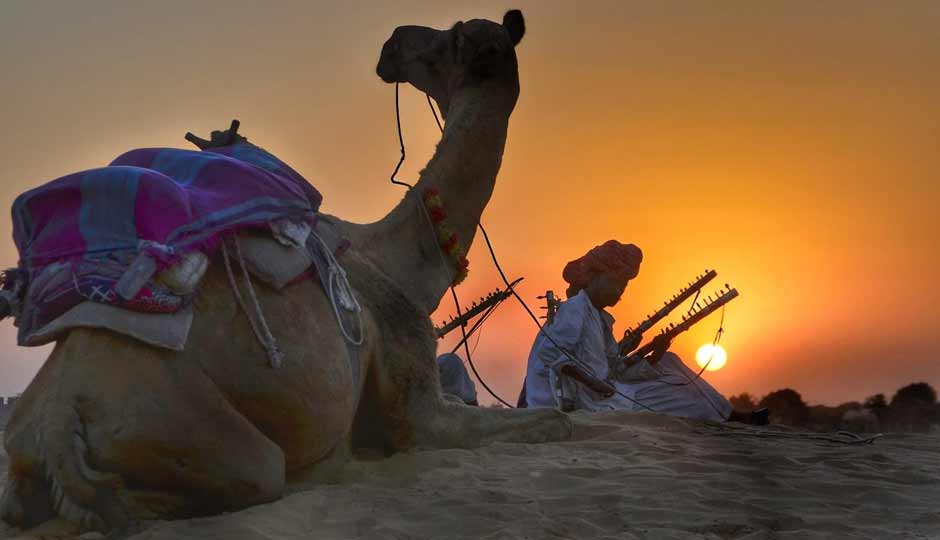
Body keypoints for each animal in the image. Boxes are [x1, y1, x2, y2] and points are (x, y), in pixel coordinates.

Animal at [0, 9, 571, 537]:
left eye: (450, 35)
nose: (393, 42)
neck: (401, 261)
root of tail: (57, 419)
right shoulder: (418, 406)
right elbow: (554, 420)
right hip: (198, 431)